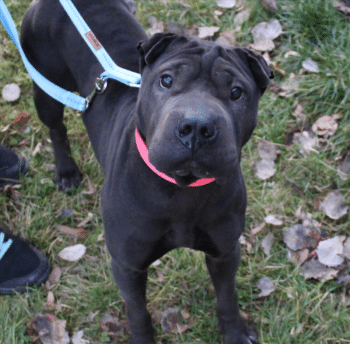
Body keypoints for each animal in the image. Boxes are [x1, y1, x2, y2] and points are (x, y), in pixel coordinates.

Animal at [21, 1, 274, 342]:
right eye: (166, 80)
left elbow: (227, 298)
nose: (197, 127)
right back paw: (66, 171)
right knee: (56, 127)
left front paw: (234, 333)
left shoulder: (225, 251)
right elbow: (137, 311)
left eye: (236, 92)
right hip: (46, 86)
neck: (181, 190)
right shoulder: (128, 265)